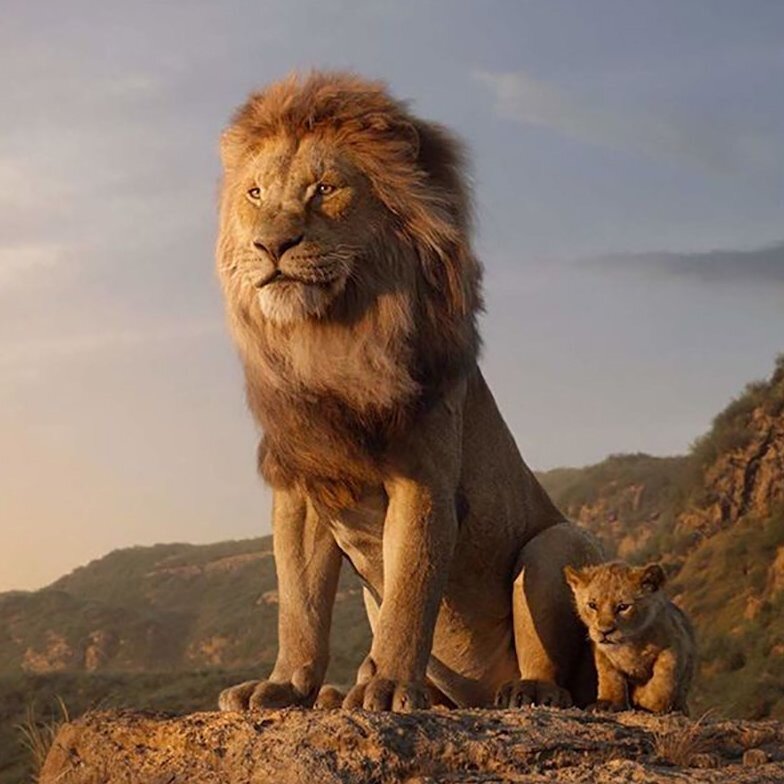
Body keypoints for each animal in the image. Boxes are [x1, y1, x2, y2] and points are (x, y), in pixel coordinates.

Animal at [215, 71, 601, 712]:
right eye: (255, 194)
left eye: (325, 189)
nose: (271, 245)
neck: (329, 340)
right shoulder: (303, 486)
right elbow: (299, 605)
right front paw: (284, 685)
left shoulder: (424, 480)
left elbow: (410, 594)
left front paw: (391, 685)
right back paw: (338, 694)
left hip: (557, 545)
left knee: (560, 671)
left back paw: (526, 691)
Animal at [564, 562, 695, 714]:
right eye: (592, 605)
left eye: (623, 607)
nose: (604, 631)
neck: (629, 643)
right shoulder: (602, 653)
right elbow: (610, 677)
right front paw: (608, 703)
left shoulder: (675, 644)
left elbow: (663, 678)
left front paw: (646, 700)